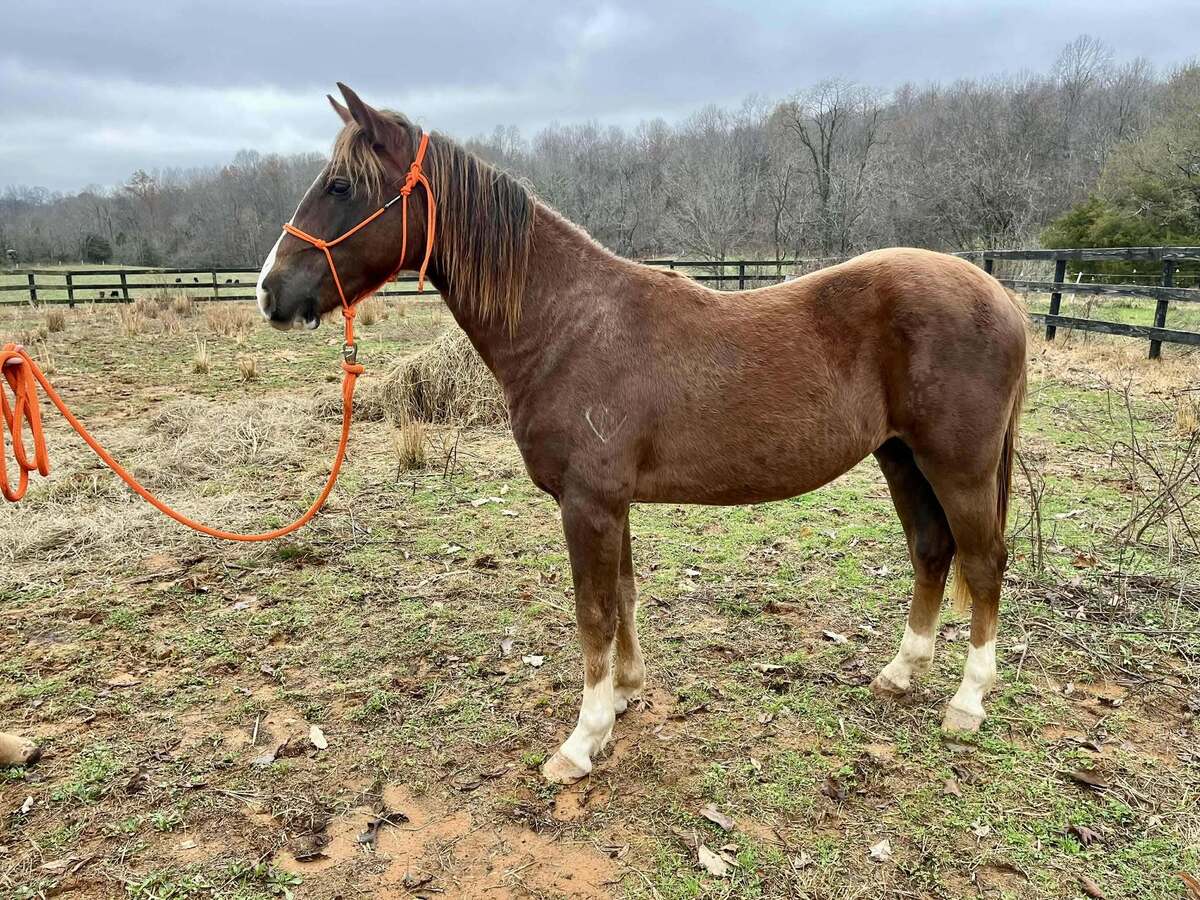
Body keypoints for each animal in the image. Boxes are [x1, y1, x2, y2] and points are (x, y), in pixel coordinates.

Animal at [257, 84, 1027, 784]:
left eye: (341, 185)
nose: (270, 291)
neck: (569, 324)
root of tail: (1003, 298)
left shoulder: (588, 502)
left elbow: (593, 614)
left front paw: (581, 741)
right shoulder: (610, 502)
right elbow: (623, 596)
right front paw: (626, 696)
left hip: (957, 466)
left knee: (983, 561)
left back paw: (967, 703)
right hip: (901, 458)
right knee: (932, 551)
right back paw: (900, 674)